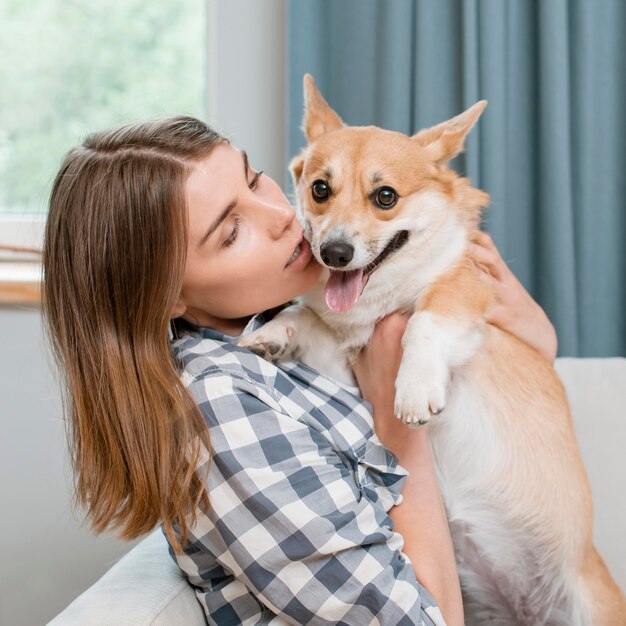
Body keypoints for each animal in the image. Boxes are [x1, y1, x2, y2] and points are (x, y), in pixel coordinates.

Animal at [239, 75, 624, 620]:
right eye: (320, 189)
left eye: (385, 197)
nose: (334, 253)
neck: (377, 302)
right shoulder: (346, 366)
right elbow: (306, 319)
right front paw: (271, 333)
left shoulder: (465, 288)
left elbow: (425, 321)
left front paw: (415, 389)